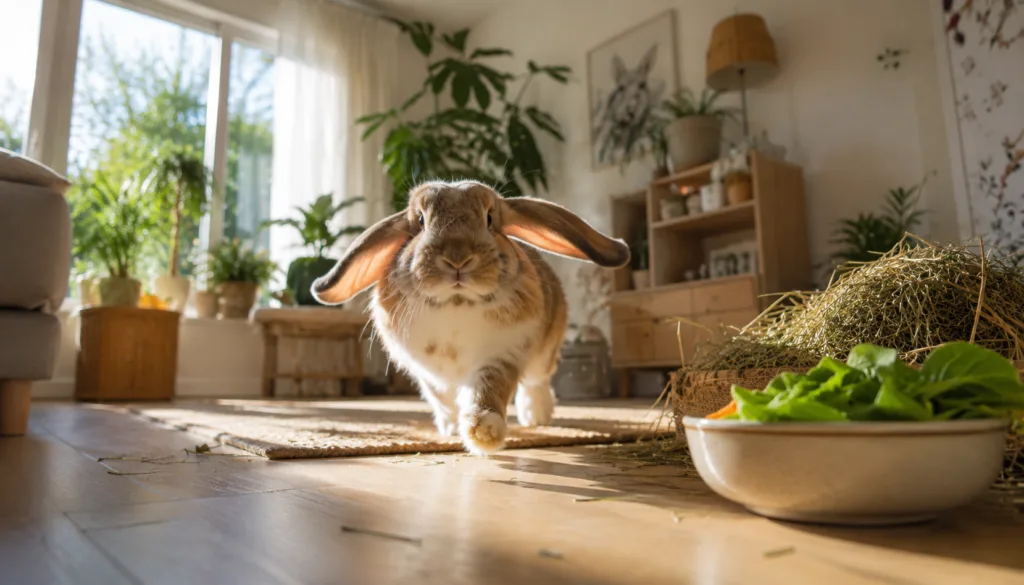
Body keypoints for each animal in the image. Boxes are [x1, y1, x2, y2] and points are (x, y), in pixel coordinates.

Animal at [311, 180, 630, 454]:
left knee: (536, 381)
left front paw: (483, 432)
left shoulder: (504, 354)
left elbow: (489, 389)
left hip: (545, 349)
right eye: (421, 221)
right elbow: (442, 400)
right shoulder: (428, 373)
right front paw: (453, 427)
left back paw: (537, 416)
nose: (457, 258)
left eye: (489, 218)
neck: (456, 304)